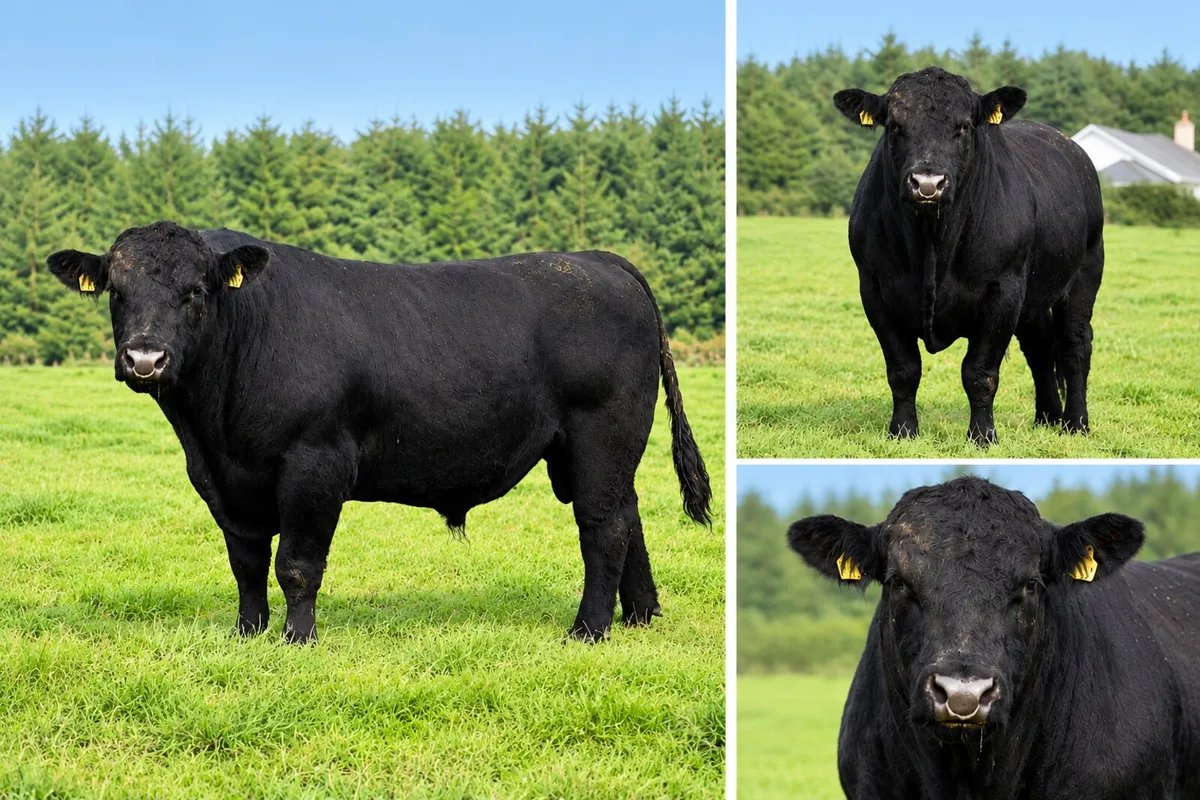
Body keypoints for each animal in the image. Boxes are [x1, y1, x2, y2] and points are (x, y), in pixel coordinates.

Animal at [46, 221, 711, 644]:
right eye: (117, 292)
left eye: (195, 291)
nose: (145, 358)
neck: (213, 428)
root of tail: (599, 259)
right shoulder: (222, 479)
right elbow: (246, 562)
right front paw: (246, 633)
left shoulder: (315, 462)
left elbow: (296, 563)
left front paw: (296, 640)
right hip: (589, 451)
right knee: (628, 515)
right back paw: (640, 615)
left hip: (602, 433)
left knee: (603, 526)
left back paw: (589, 630)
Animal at [833, 67, 1105, 445]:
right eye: (895, 125)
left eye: (963, 126)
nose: (927, 183)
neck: (933, 245)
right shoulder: (874, 288)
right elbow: (903, 369)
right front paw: (902, 431)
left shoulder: (1003, 290)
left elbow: (979, 372)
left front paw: (982, 436)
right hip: (1035, 295)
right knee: (1039, 348)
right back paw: (1047, 417)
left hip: (1084, 274)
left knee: (1074, 345)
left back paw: (1075, 423)